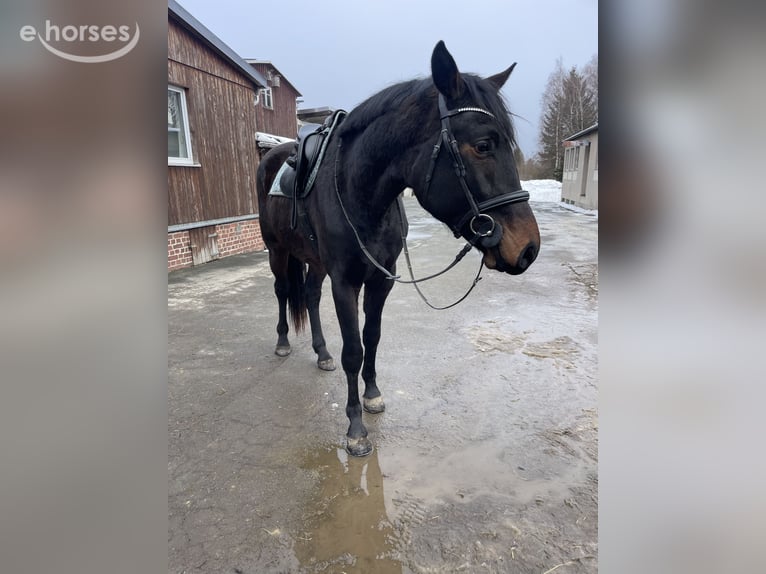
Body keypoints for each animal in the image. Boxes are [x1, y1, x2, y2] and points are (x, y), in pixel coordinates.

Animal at [256, 41, 540, 456]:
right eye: (483, 145)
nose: (528, 248)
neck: (358, 191)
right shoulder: (345, 283)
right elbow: (353, 350)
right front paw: (355, 429)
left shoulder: (382, 278)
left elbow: (372, 337)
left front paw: (373, 395)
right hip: (277, 251)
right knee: (281, 291)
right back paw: (281, 343)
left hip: (315, 261)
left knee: (309, 295)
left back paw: (321, 352)